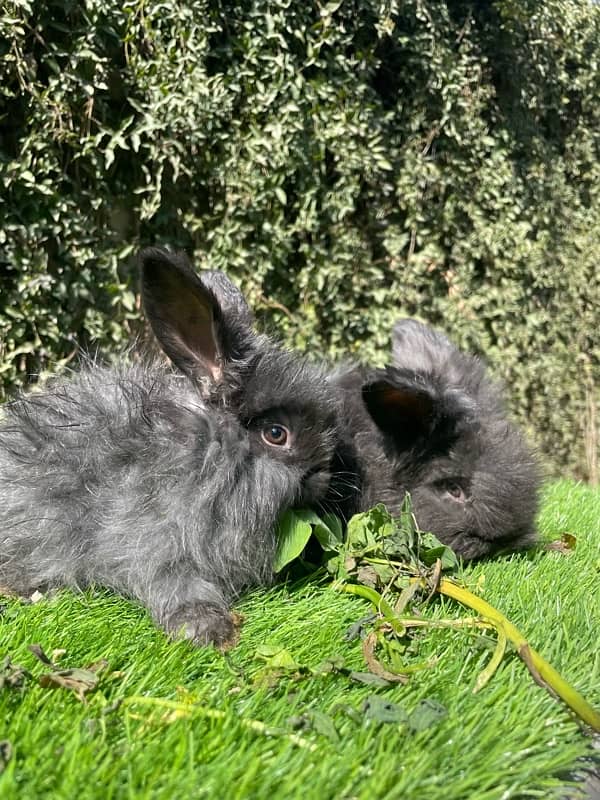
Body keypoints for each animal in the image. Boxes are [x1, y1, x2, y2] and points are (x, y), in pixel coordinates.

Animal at [0, 247, 338, 648]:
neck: (198, 455)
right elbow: (176, 584)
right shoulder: (151, 540)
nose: (324, 475)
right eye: (276, 433)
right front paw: (208, 630)